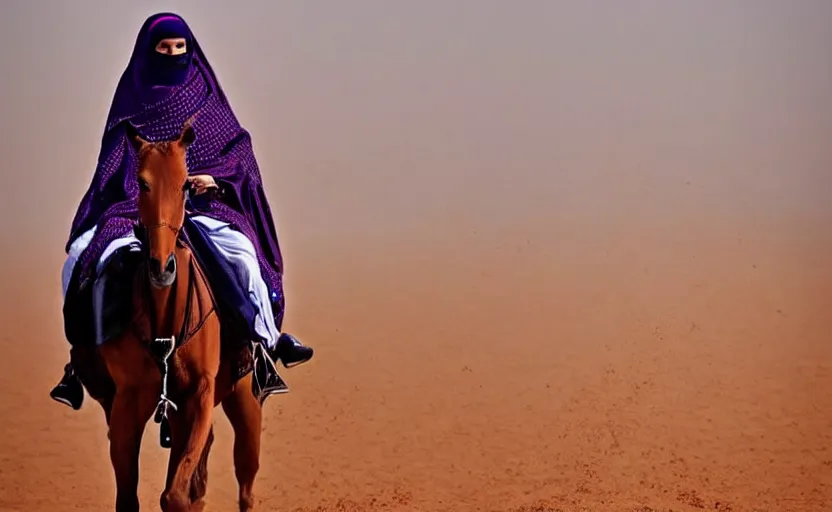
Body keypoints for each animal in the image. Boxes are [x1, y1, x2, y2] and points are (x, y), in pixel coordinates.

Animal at [74, 118, 264, 510]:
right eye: (142, 182)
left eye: (184, 184)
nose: (162, 267)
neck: (165, 320)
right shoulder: (129, 401)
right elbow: (132, 496)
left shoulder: (200, 394)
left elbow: (175, 494)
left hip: (245, 399)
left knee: (246, 486)